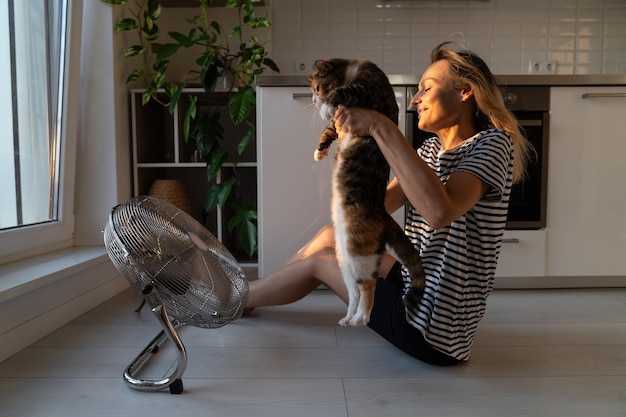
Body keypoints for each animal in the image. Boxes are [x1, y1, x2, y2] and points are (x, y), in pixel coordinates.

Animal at [308, 58, 424, 324]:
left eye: (317, 88)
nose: (314, 100)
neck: (354, 69)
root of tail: (382, 213)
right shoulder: (341, 120)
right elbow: (330, 129)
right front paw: (320, 150)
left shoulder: (368, 89)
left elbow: (341, 93)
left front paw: (325, 108)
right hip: (343, 256)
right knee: (354, 290)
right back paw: (349, 317)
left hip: (357, 249)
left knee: (369, 285)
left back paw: (360, 319)